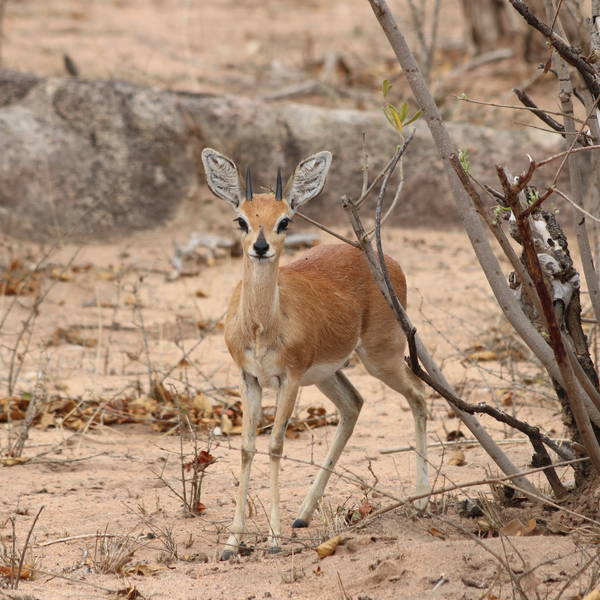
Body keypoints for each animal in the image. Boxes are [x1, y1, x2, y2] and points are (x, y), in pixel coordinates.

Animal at [204, 148, 428, 560]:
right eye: (241, 219)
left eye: (284, 219)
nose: (261, 247)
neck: (262, 326)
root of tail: (389, 263)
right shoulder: (249, 379)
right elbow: (246, 448)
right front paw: (231, 543)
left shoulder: (289, 380)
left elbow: (275, 445)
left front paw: (273, 542)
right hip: (328, 373)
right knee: (353, 404)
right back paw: (303, 515)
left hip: (381, 357)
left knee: (419, 395)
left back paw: (421, 500)